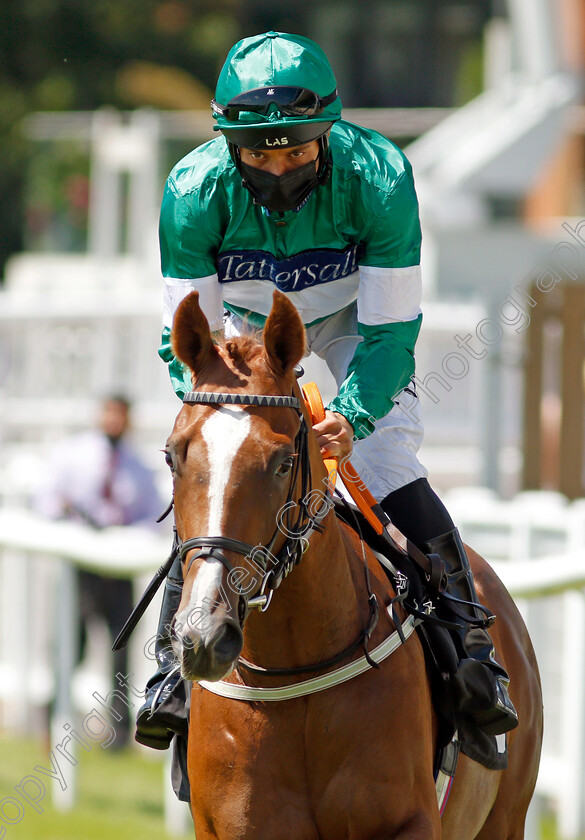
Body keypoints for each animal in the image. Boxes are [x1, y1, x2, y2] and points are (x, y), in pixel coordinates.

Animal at [164, 290, 544, 840]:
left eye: (282, 462)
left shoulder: (407, 821)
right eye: (173, 457)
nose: (205, 634)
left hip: (507, 815)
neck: (293, 671)